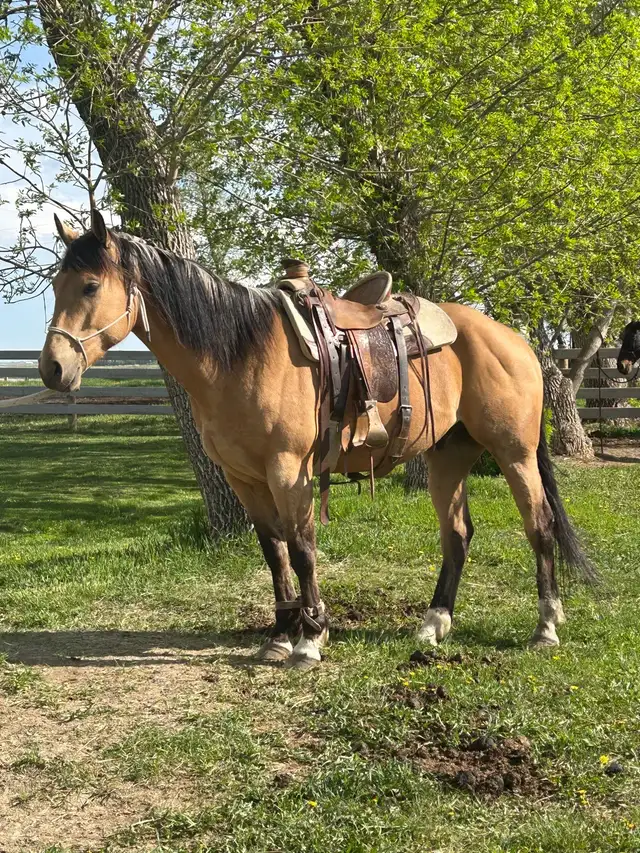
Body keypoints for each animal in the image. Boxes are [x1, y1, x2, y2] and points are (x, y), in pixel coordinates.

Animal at [38, 210, 594, 669]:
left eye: (90, 286)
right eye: (57, 284)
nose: (53, 368)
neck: (239, 356)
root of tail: (515, 339)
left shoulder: (289, 471)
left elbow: (303, 548)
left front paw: (309, 641)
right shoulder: (244, 478)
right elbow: (274, 552)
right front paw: (280, 636)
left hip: (514, 453)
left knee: (540, 526)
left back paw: (545, 626)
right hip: (448, 456)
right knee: (456, 534)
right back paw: (433, 625)